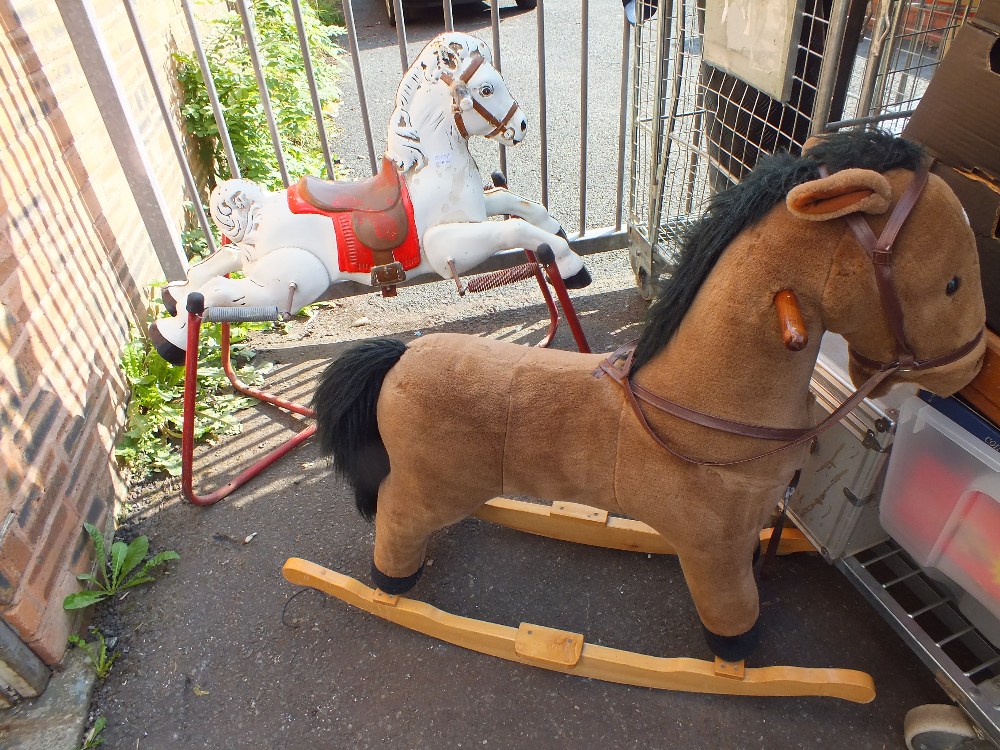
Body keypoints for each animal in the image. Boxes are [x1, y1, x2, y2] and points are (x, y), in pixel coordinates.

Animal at [152, 30, 588, 366]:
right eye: (486, 88)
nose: (522, 125)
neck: (436, 170)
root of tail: (258, 214)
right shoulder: (444, 247)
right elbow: (513, 230)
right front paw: (573, 265)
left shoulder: (476, 210)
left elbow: (514, 202)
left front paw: (557, 228)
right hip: (294, 279)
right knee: (214, 292)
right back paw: (167, 339)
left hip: (254, 260)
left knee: (213, 263)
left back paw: (171, 296)